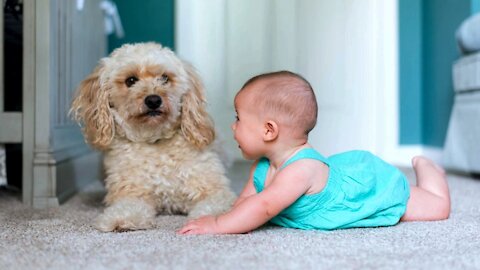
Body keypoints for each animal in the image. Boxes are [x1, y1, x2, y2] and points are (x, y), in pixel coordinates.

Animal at [71, 42, 236, 232]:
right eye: (131, 80)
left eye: (165, 78)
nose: (153, 100)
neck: (155, 141)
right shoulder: (132, 192)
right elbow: (128, 207)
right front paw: (120, 219)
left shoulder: (215, 191)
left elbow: (214, 206)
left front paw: (208, 221)